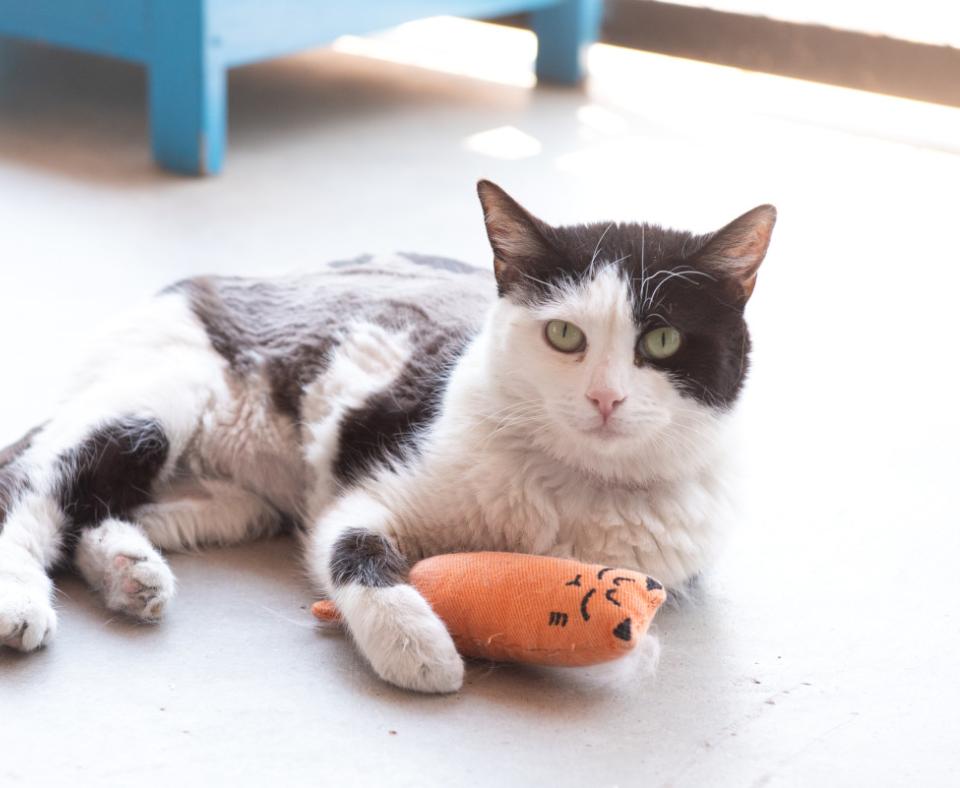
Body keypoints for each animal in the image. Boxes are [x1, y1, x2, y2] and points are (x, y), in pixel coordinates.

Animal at [0, 179, 772, 688]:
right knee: (32, 480)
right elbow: (353, 550)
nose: (605, 397)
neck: (572, 491)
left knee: (99, 511)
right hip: (159, 396)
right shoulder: (371, 489)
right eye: (563, 335)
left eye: (663, 341)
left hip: (240, 501)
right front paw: (418, 646)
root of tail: (196, 282)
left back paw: (130, 571)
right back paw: (22, 599)